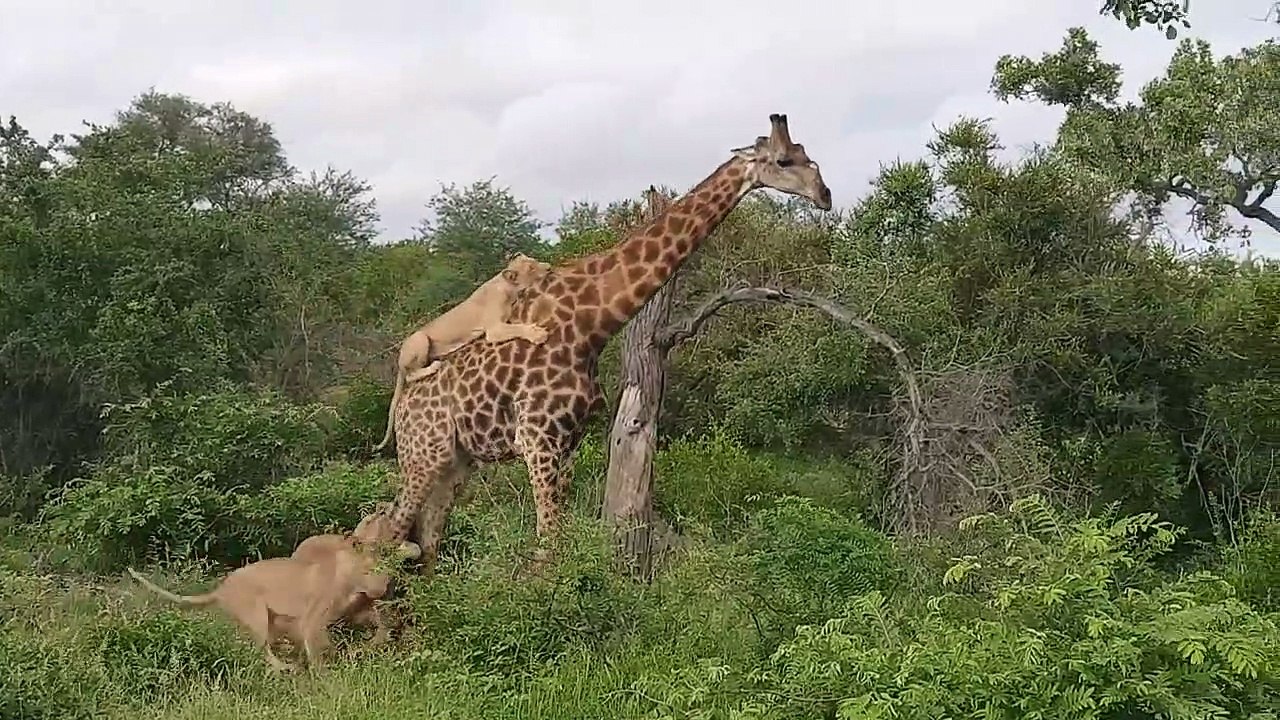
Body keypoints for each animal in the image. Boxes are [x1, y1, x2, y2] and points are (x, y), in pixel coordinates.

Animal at [126, 535, 421, 673]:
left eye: (385, 568)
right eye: (370, 568)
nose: (382, 587)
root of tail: (222, 588)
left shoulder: (353, 611)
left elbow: (379, 623)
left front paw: (371, 644)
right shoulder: (313, 619)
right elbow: (319, 649)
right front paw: (327, 673)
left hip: (271, 620)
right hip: (256, 616)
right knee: (258, 649)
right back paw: (285, 668)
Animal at [372, 253, 555, 451]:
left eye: (533, 261)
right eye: (531, 268)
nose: (549, 267)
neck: (506, 286)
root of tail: (399, 361)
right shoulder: (494, 329)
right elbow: (517, 328)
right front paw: (538, 334)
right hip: (420, 338)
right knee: (411, 374)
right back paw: (434, 366)